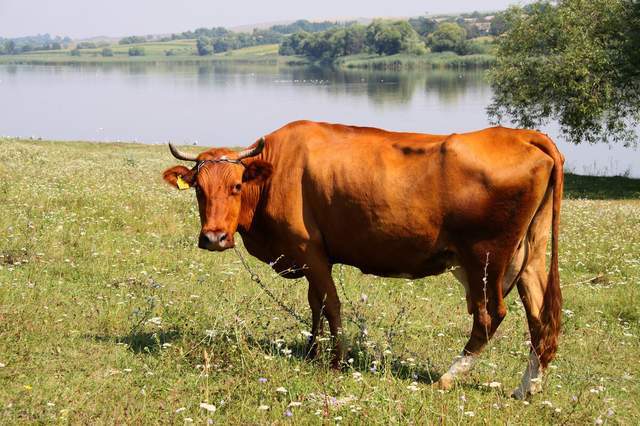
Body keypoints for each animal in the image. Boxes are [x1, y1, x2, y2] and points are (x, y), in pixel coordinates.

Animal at [162, 120, 564, 400]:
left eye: (236, 185)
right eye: (199, 190)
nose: (214, 238)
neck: (276, 171)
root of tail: (522, 135)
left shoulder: (309, 250)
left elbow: (331, 304)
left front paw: (336, 361)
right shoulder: (312, 258)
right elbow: (315, 304)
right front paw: (311, 351)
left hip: (485, 259)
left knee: (490, 315)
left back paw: (449, 376)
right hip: (528, 256)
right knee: (540, 319)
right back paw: (527, 387)